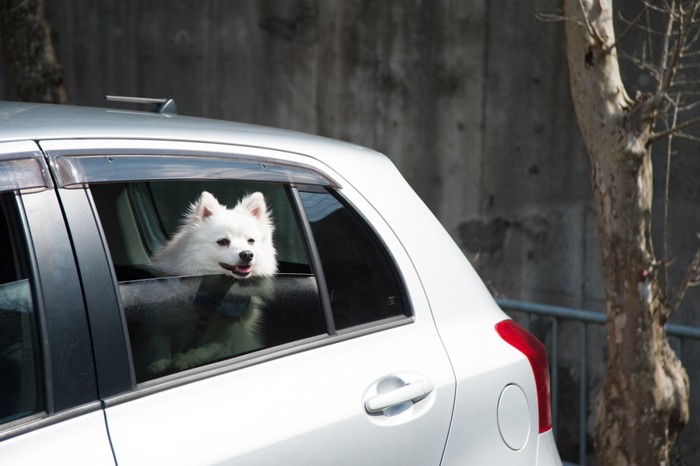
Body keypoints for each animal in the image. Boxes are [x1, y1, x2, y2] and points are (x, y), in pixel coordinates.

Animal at [144, 191, 276, 374]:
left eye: (251, 241)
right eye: (223, 242)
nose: (248, 254)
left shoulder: (227, 335)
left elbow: (209, 348)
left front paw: (187, 358)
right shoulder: (161, 323)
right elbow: (160, 341)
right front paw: (160, 362)